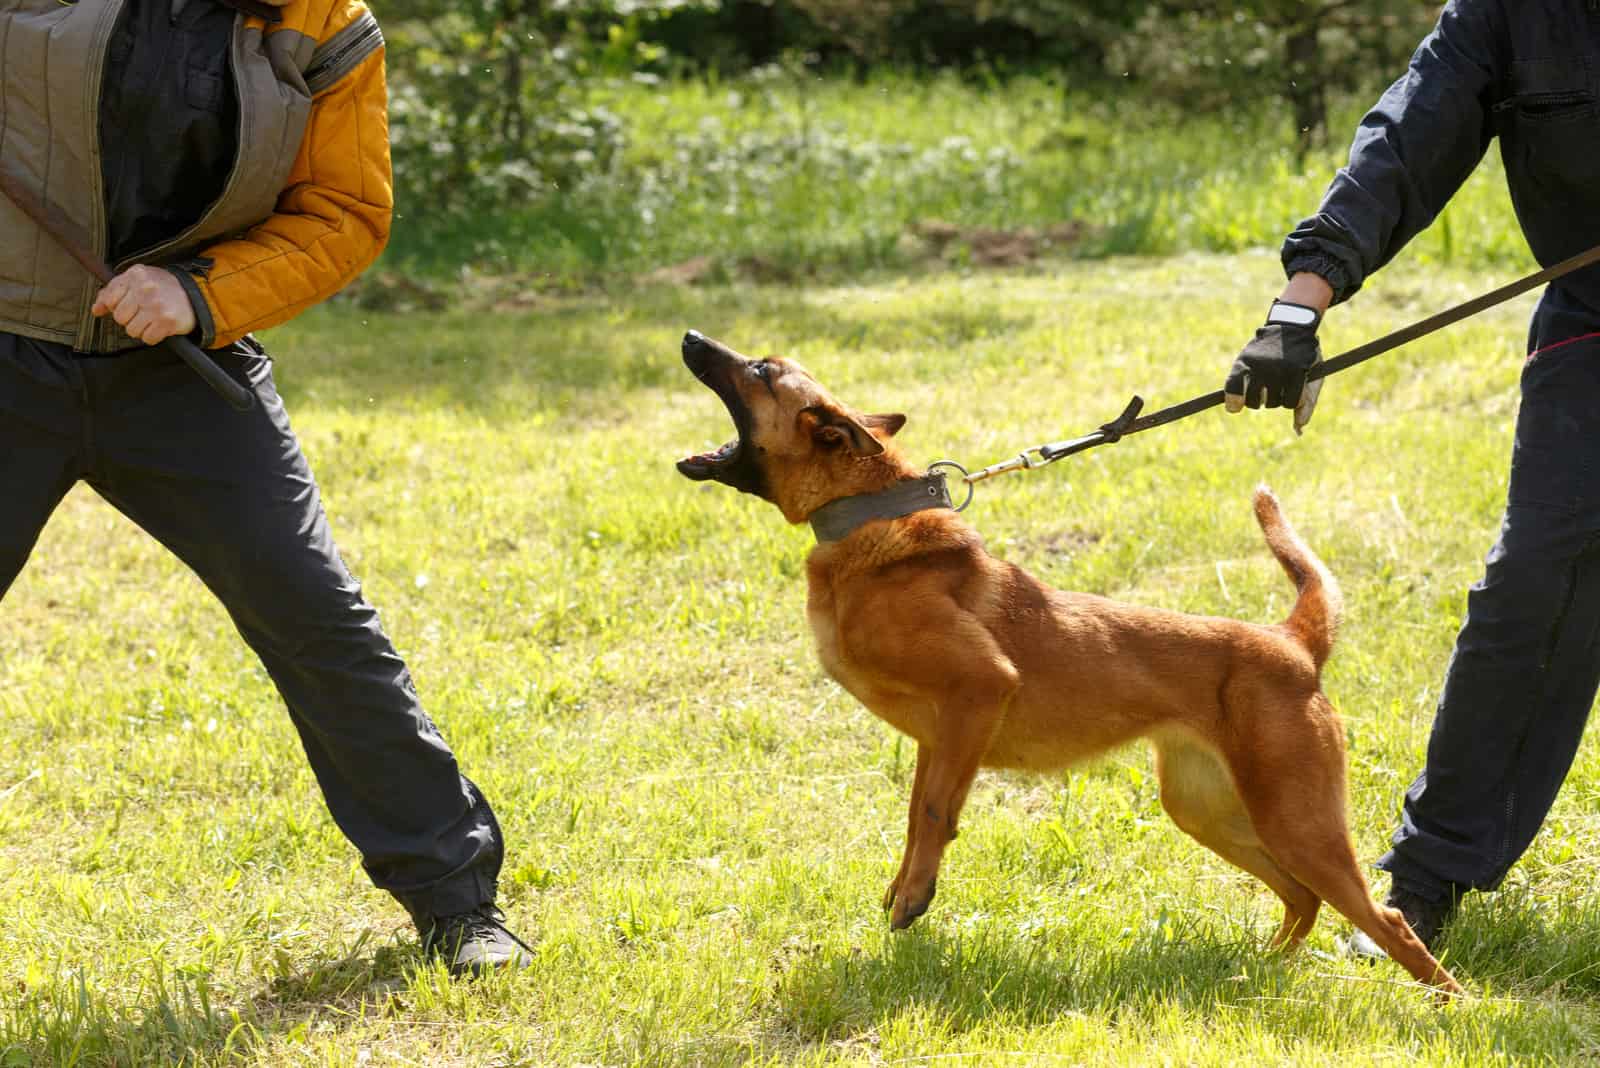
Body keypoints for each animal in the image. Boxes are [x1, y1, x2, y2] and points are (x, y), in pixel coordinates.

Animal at [675, 329, 1465, 997]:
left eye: (760, 370)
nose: (690, 338)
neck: (869, 524)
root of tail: (1292, 643)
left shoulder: (979, 688)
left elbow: (932, 814)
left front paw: (917, 897)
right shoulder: (939, 737)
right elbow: (916, 816)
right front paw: (905, 890)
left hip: (1296, 818)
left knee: (1385, 920)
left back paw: (1452, 1006)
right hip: (1209, 809)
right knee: (1302, 897)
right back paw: (1255, 971)